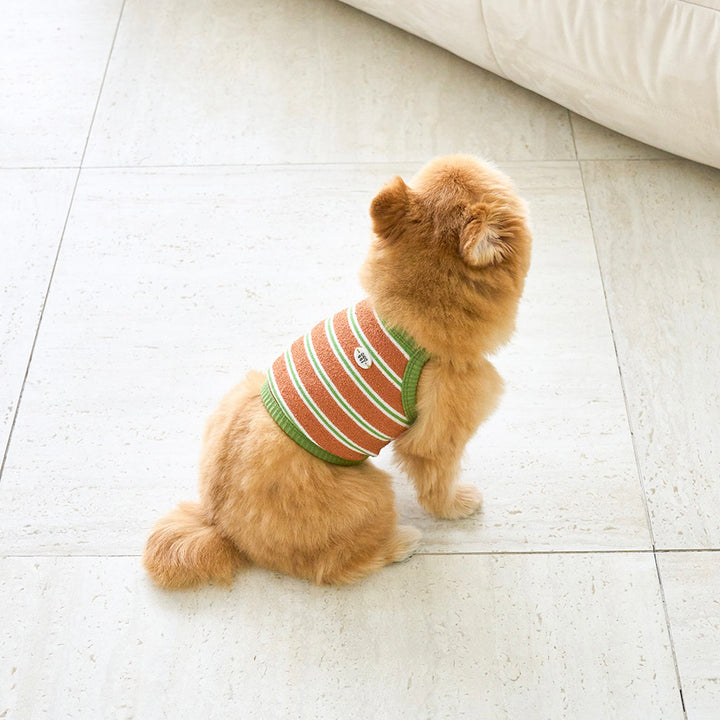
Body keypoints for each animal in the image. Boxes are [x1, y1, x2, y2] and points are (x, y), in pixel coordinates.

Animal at [143, 155, 532, 588]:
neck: (415, 310)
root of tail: (219, 527)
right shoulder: (438, 437)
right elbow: (438, 482)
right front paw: (457, 505)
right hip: (370, 494)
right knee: (336, 565)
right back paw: (400, 543)